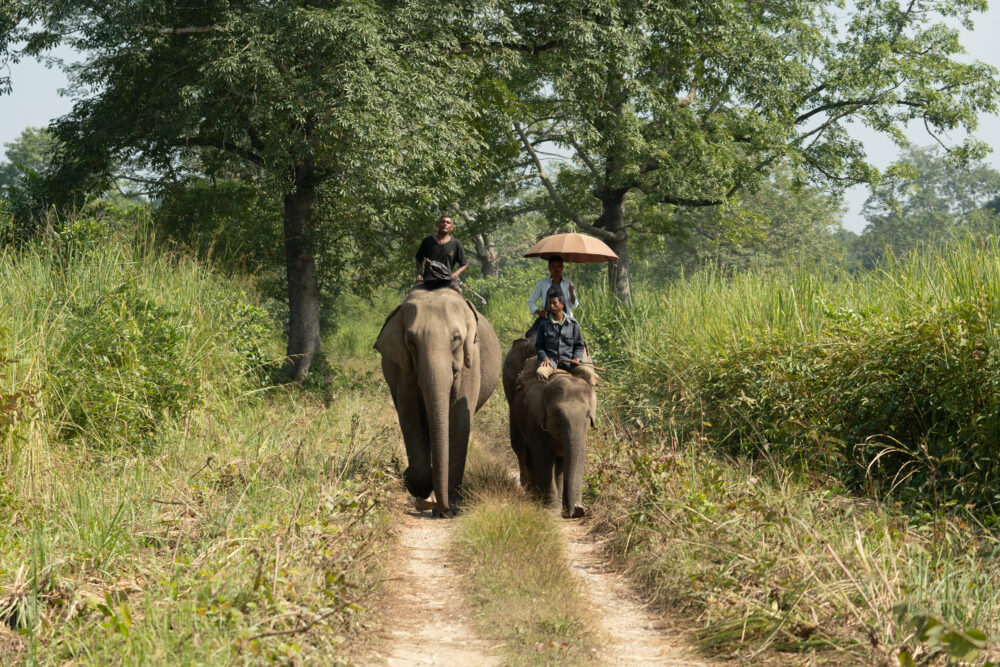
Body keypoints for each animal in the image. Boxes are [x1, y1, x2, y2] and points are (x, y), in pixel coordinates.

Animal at [375, 288, 501, 516]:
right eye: (411, 341)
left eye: (456, 338)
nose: (443, 509)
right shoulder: (403, 368)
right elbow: (409, 414)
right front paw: (416, 484)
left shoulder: (470, 363)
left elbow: (459, 419)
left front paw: (450, 506)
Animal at [503, 337, 597, 518]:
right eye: (557, 416)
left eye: (587, 418)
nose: (577, 510)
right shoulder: (533, 418)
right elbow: (544, 457)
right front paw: (551, 510)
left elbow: (565, 459)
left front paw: (561, 508)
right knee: (520, 447)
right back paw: (531, 492)